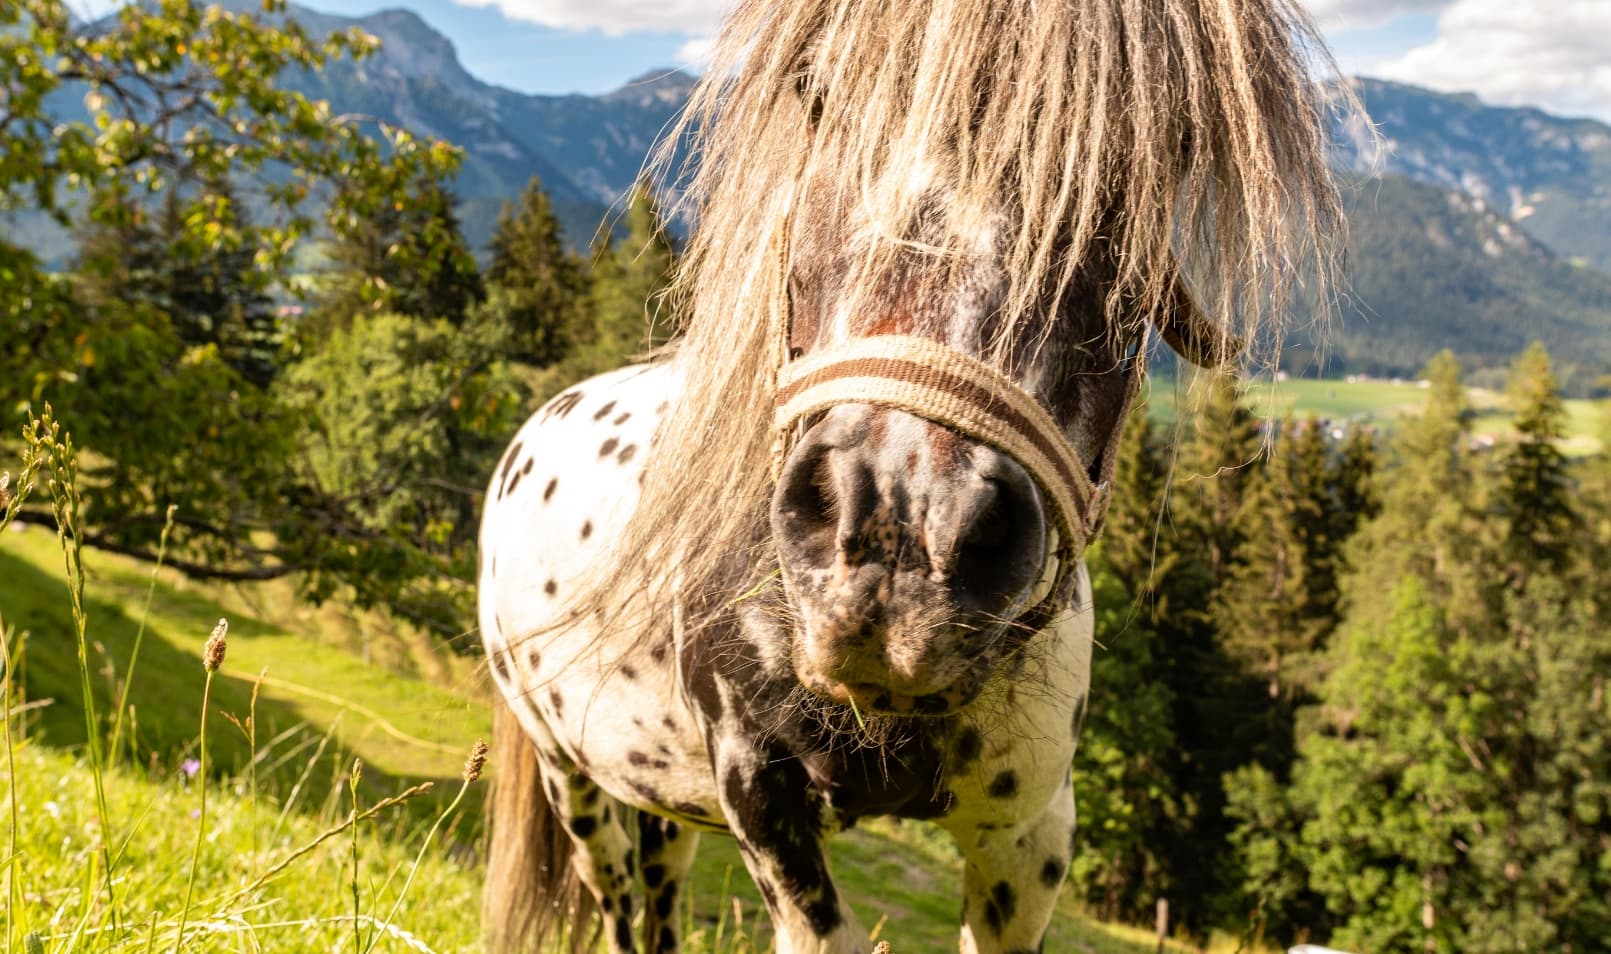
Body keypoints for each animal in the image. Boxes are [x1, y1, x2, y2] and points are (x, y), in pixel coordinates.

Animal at [477, 1, 1345, 951]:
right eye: (817, 90)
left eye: (1165, 142)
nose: (900, 532)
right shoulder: (761, 800)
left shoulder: (1028, 829)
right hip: (574, 782)